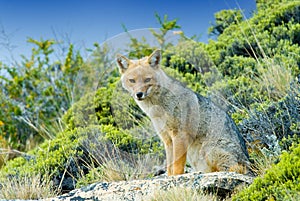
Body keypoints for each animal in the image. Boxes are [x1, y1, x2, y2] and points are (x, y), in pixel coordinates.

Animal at [116, 49, 251, 175]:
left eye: (147, 79)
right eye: (132, 80)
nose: (139, 94)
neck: (158, 110)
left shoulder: (180, 135)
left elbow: (177, 166)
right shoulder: (167, 139)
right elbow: (170, 167)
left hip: (208, 150)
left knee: (233, 169)